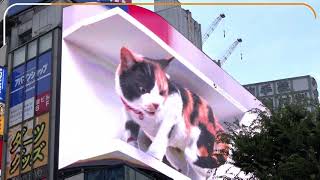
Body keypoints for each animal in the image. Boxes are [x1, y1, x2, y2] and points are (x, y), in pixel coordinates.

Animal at [115, 47, 230, 179]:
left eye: (162, 92)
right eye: (142, 89)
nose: (156, 104)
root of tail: (216, 121)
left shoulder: (173, 112)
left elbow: (162, 135)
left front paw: (153, 156)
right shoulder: (129, 117)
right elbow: (131, 134)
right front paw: (132, 147)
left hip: (199, 149)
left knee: (206, 170)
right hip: (173, 152)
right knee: (185, 167)